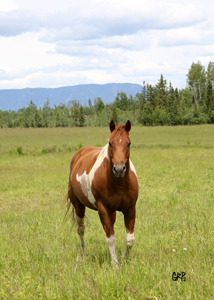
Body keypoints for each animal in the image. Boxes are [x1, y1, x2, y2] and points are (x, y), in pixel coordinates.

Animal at [65, 119, 139, 268]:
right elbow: (110, 238)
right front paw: (115, 265)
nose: (119, 169)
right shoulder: (103, 209)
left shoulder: (130, 209)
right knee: (81, 229)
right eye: (110, 143)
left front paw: (123, 258)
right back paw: (84, 254)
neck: (119, 184)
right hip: (78, 206)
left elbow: (130, 239)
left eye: (128, 143)